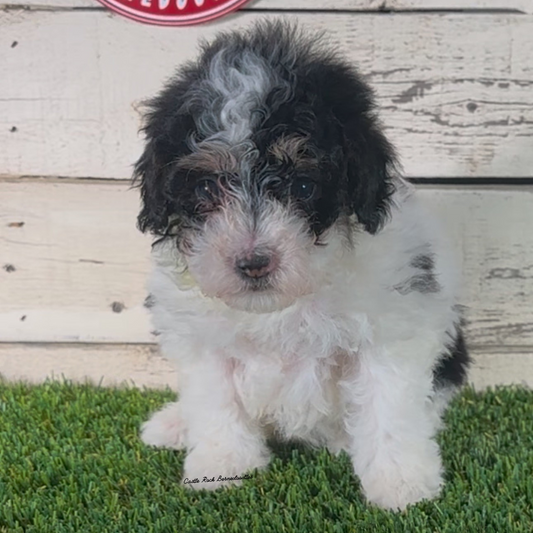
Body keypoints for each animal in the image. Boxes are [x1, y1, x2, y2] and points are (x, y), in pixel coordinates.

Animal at [135, 21, 468, 512]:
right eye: (207, 188)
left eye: (305, 186)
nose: (253, 263)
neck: (283, 302)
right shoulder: (201, 337)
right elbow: (216, 400)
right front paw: (221, 464)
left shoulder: (393, 324)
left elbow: (388, 406)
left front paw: (401, 483)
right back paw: (174, 424)